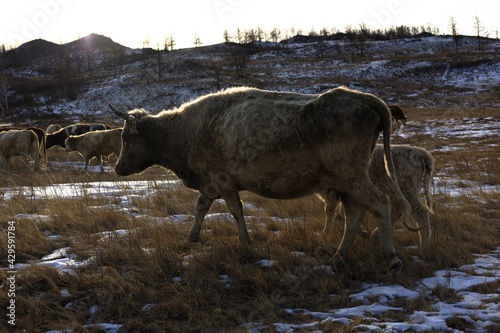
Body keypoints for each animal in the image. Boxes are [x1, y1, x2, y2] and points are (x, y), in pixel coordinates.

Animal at [111, 86, 412, 278]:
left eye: (124, 137)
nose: (118, 168)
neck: (187, 131)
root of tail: (366, 99)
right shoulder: (210, 183)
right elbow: (200, 207)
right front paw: (192, 236)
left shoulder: (222, 179)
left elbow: (235, 210)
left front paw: (244, 242)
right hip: (345, 181)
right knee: (354, 213)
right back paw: (339, 255)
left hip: (351, 176)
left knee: (380, 203)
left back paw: (391, 258)